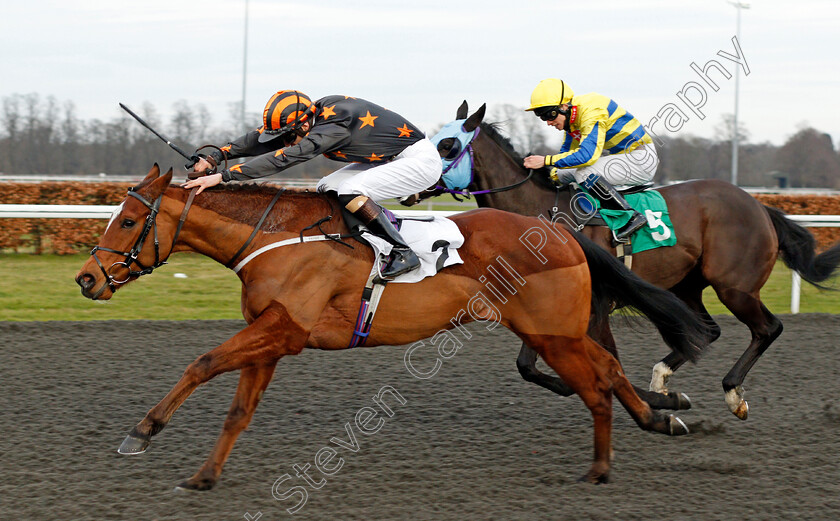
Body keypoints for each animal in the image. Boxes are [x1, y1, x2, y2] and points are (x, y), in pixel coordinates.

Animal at [75, 165, 712, 486]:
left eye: (127, 220)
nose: (86, 278)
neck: (276, 236)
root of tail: (561, 231)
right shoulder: (273, 338)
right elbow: (238, 411)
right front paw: (204, 476)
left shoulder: (284, 330)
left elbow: (201, 363)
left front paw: (142, 431)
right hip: (556, 332)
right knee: (608, 369)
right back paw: (661, 419)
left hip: (552, 335)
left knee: (596, 386)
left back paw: (603, 466)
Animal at [412, 100, 840, 418]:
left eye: (447, 146)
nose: (409, 182)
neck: (540, 217)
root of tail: (759, 205)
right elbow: (528, 366)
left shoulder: (595, 307)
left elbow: (608, 365)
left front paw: (662, 402)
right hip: (687, 285)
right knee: (707, 330)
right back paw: (662, 377)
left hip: (735, 286)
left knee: (767, 329)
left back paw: (732, 393)